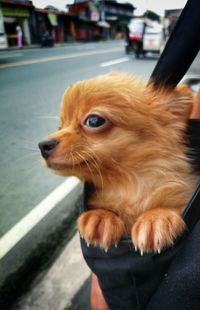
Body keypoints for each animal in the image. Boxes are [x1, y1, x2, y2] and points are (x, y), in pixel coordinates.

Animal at [38, 72, 198, 254]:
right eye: (60, 126)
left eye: (94, 121)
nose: (43, 145)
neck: (129, 187)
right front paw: (100, 217)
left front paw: (156, 217)